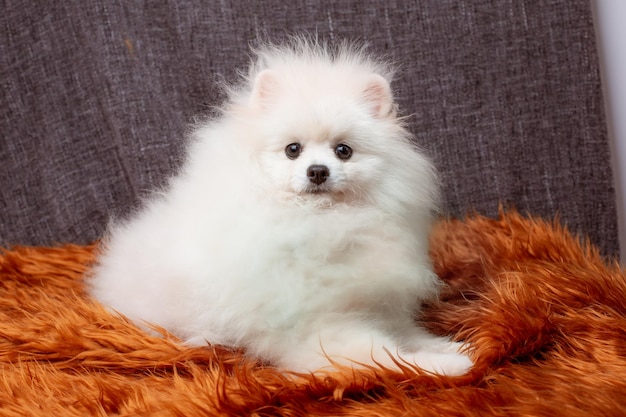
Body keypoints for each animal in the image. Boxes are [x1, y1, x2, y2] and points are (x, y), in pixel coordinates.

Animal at [86, 38, 468, 374]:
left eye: (343, 150)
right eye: (292, 149)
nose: (318, 171)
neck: (324, 224)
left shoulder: (377, 303)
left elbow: (410, 333)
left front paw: (449, 345)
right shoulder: (319, 330)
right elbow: (390, 356)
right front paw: (450, 365)